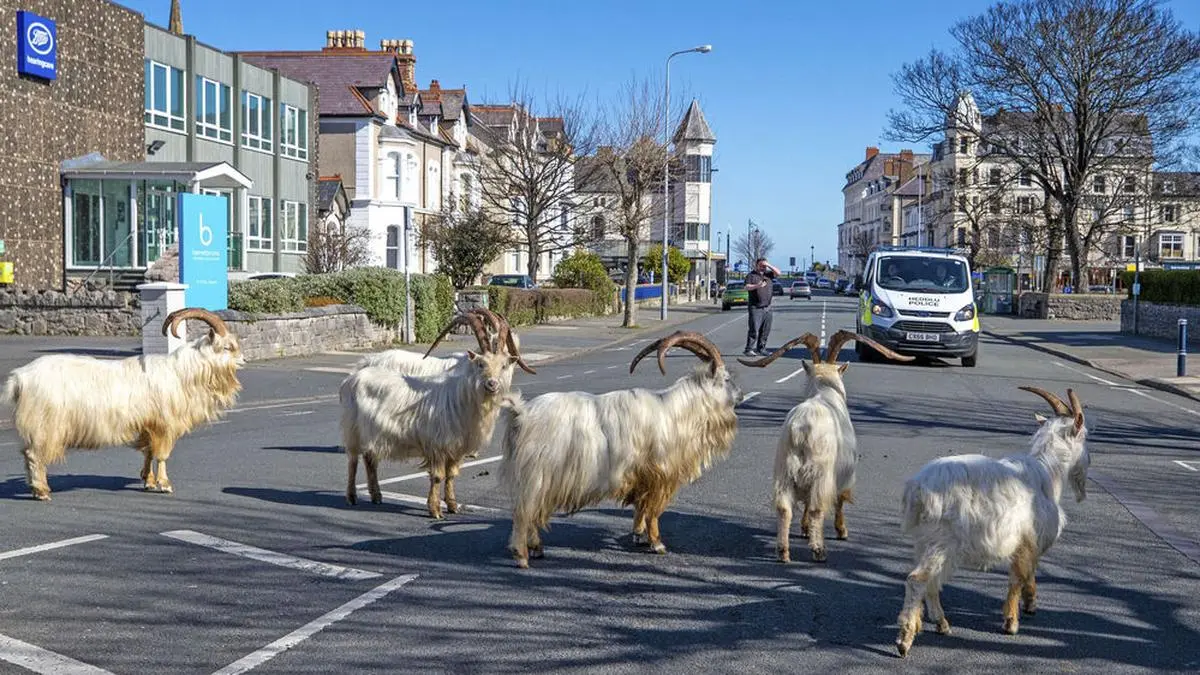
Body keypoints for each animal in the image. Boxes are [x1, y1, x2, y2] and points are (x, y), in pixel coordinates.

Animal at [2, 308, 243, 500]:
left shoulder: (147, 425)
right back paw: (41, 491)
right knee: (34, 455)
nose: (243, 360)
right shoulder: (164, 424)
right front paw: (164, 485)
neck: (182, 372)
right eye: (227, 347)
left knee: (27, 454)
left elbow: (148, 452)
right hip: (45, 425)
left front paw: (148, 481)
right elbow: (162, 455)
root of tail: (20, 378)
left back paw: (36, 488)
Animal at [340, 311, 521, 519]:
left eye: (503, 365)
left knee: (370, 460)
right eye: (480, 364)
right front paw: (435, 509)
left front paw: (452, 505)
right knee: (353, 461)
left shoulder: (457, 448)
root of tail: (352, 377)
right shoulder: (437, 445)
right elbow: (437, 476)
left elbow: (451, 475)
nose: (492, 384)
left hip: (373, 433)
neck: (461, 398)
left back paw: (376, 496)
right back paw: (352, 497)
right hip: (352, 430)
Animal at [499, 331, 741, 568]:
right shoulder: (660, 475)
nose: (740, 394)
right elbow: (653, 511)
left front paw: (639, 536)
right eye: (726, 379)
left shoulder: (641, 477)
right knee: (524, 512)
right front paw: (657, 544)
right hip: (537, 475)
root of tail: (521, 413)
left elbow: (641, 508)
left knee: (532, 512)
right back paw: (522, 555)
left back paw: (536, 548)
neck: (677, 412)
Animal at [740, 330, 914, 563]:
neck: (824, 392)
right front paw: (841, 531)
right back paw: (819, 550)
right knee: (816, 508)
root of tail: (801, 428)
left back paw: (783, 552)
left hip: (784, 470)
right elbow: (839, 500)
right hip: (820, 472)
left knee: (784, 508)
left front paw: (804, 530)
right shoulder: (844, 473)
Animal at [894, 387, 1090, 658]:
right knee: (918, 580)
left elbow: (1028, 573)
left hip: (925, 542)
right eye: (1085, 436)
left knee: (930, 581)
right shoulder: (1027, 539)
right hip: (942, 541)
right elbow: (1018, 577)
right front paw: (1012, 622)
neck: (1048, 472)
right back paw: (905, 640)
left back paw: (941, 623)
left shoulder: (1026, 542)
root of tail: (917, 489)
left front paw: (1030, 604)